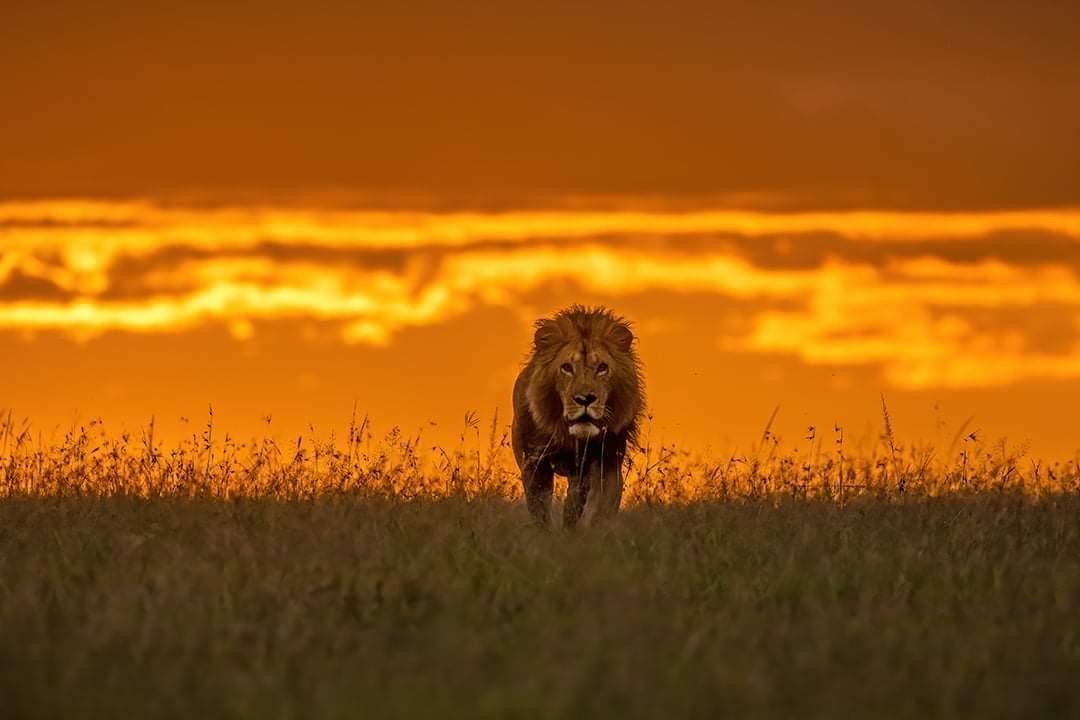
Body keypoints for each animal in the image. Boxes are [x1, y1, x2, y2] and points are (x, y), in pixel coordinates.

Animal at [511, 304, 639, 528]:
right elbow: (540, 508)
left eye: (602, 368)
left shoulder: (605, 464)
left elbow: (598, 508)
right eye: (566, 368)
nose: (585, 398)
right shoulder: (535, 462)